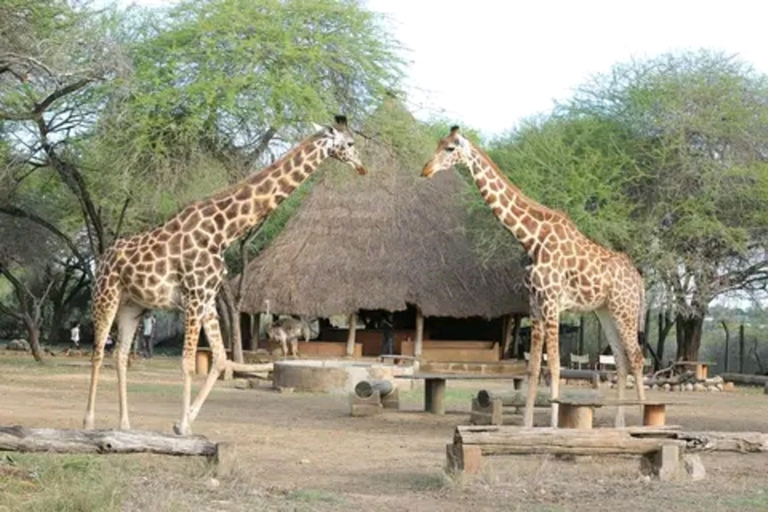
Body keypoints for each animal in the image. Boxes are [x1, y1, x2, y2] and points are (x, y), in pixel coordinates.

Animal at [83, 115, 366, 436]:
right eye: (350, 143)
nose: (361, 166)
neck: (223, 232)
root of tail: (102, 257)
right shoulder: (194, 297)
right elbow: (188, 362)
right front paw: (184, 426)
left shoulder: (206, 298)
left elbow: (219, 359)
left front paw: (183, 422)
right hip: (105, 296)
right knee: (98, 352)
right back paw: (89, 422)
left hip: (133, 306)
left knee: (119, 355)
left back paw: (125, 425)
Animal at [421, 126, 646, 428]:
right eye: (438, 143)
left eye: (449, 148)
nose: (426, 170)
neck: (530, 238)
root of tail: (639, 280)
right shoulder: (535, 304)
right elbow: (533, 367)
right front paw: (527, 423)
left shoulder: (551, 302)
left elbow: (554, 366)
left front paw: (553, 424)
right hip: (606, 311)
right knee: (621, 360)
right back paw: (620, 424)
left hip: (625, 310)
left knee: (637, 357)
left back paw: (648, 418)